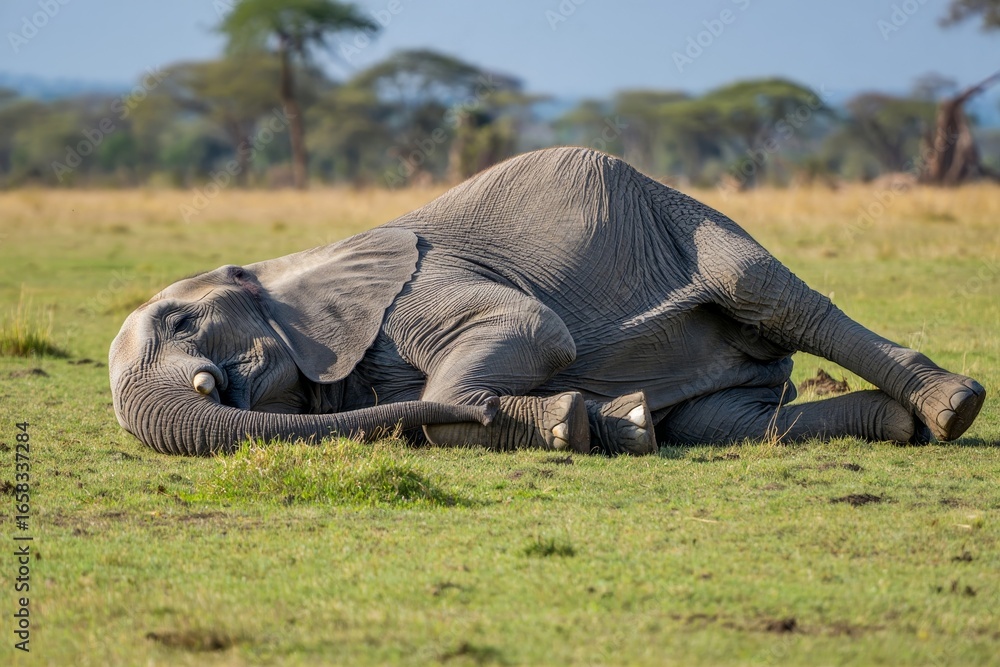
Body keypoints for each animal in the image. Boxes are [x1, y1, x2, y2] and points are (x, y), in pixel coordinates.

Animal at [109, 147, 986, 456]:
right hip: (728, 389)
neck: (289, 263)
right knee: (733, 424)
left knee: (772, 297)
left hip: (688, 220)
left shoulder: (421, 287)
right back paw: (895, 426)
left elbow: (530, 330)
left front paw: (567, 419)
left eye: (183, 320)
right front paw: (609, 422)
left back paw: (953, 410)